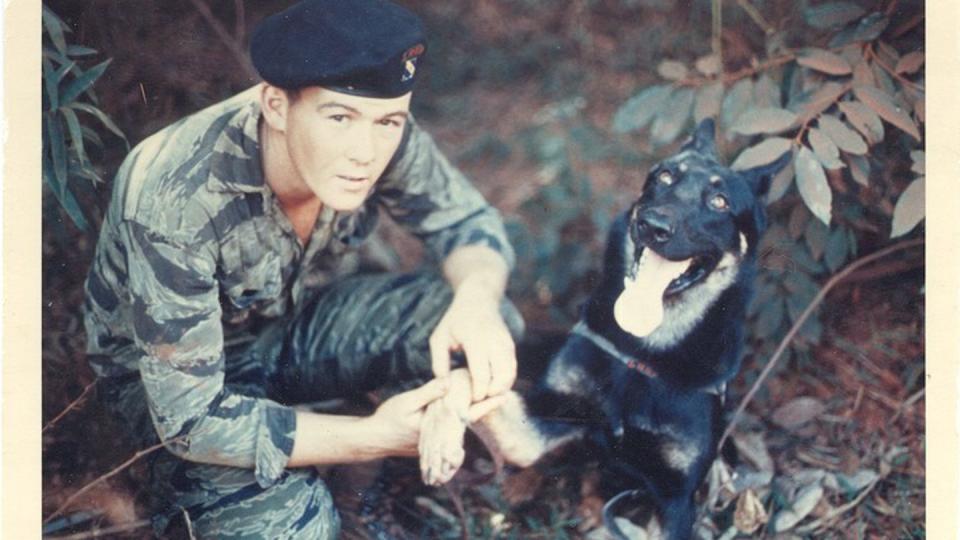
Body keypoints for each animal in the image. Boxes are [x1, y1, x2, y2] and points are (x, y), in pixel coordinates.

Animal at [418, 120, 788, 540]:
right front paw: (438, 431)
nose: (653, 226)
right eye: (665, 176)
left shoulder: (675, 498)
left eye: (720, 201)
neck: (642, 353)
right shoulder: (548, 418)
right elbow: (464, 378)